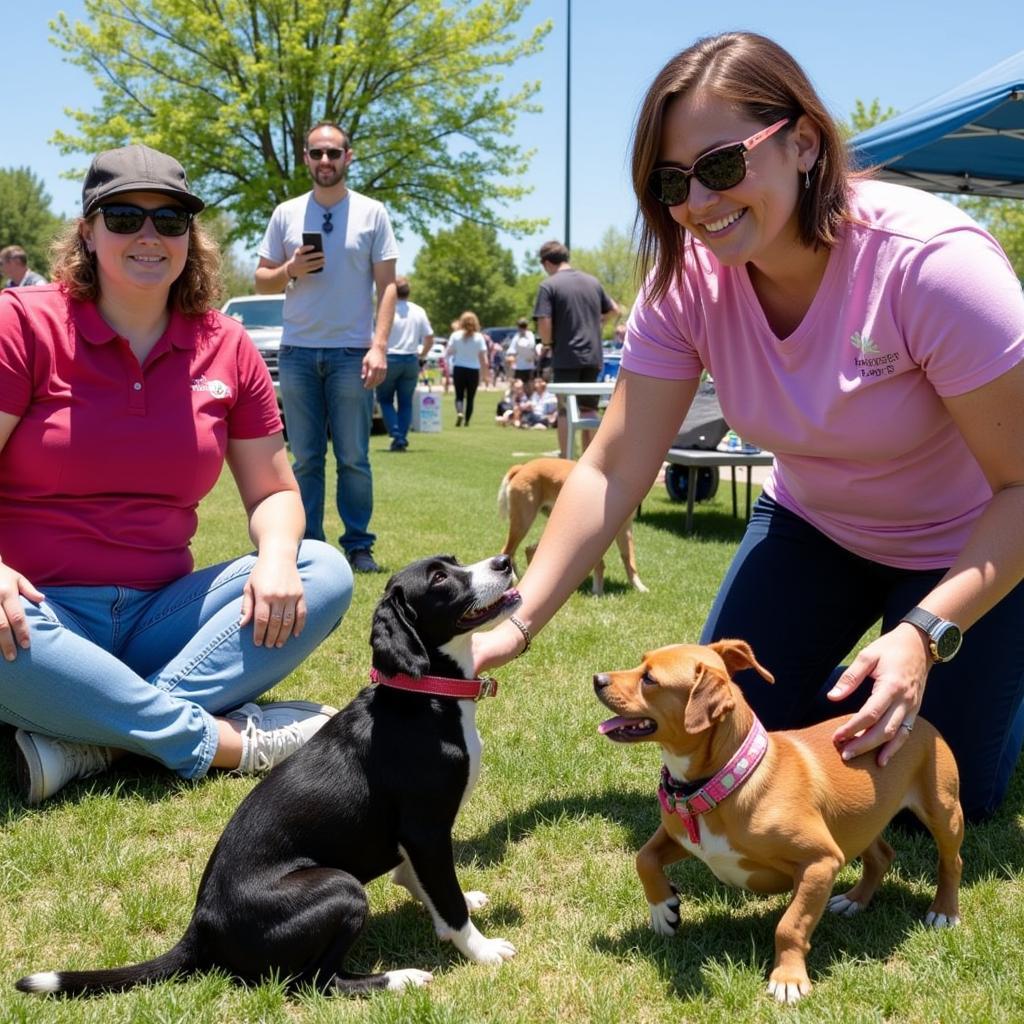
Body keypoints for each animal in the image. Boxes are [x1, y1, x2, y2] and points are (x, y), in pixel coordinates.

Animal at [18, 557, 520, 995]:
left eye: (453, 561)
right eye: (439, 579)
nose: (505, 561)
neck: (423, 694)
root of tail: (202, 925)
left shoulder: (413, 839)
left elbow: (422, 882)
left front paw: (454, 910)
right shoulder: (426, 829)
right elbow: (446, 899)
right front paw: (480, 950)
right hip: (341, 887)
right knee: (318, 981)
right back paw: (400, 979)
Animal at [495, 458, 647, 598]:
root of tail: (522, 467)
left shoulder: (625, 528)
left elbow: (629, 559)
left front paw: (638, 586)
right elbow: (599, 563)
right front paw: (598, 592)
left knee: (529, 549)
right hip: (523, 522)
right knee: (508, 550)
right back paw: (514, 580)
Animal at [593, 634, 958, 1003]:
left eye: (650, 679)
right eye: (642, 662)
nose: (597, 679)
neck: (727, 780)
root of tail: (915, 720)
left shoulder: (821, 862)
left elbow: (790, 925)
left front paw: (788, 978)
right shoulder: (678, 836)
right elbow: (644, 857)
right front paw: (662, 908)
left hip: (943, 811)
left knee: (950, 862)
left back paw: (944, 910)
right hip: (860, 821)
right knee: (881, 855)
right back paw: (854, 900)